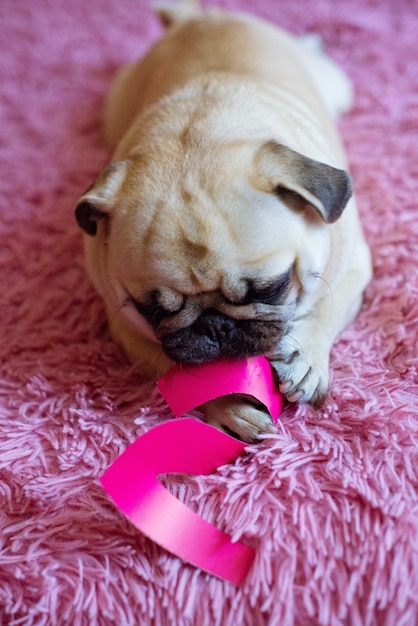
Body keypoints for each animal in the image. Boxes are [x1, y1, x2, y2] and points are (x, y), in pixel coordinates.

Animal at [73, 0, 370, 442]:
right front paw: (230, 406)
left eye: (272, 288)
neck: (202, 132)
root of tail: (198, 17)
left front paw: (305, 357)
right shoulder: (128, 329)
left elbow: (325, 306)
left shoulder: (353, 267)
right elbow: (180, 374)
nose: (215, 327)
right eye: (153, 311)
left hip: (337, 86)